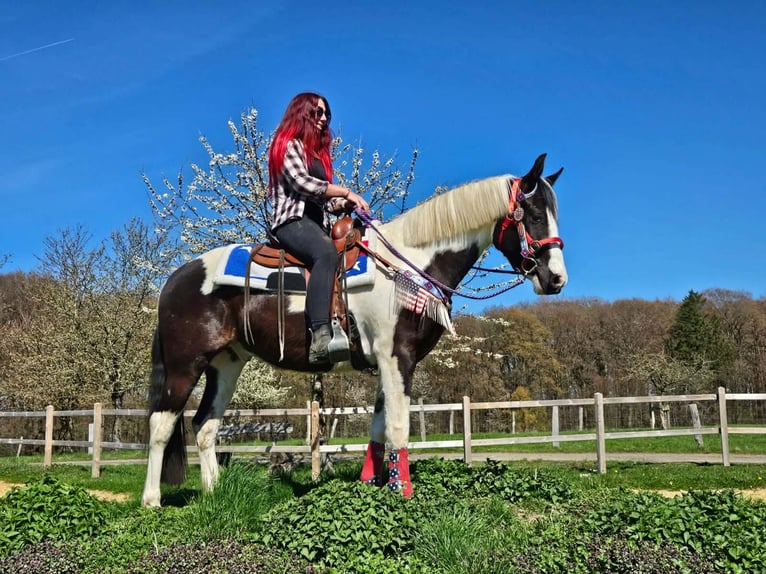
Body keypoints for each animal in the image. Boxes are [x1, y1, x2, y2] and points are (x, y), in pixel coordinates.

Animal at [141, 153, 567, 507]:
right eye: (532, 214)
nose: (556, 279)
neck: (407, 266)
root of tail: (176, 278)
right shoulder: (398, 358)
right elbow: (398, 426)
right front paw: (403, 493)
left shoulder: (384, 361)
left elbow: (378, 426)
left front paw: (371, 484)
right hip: (184, 363)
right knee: (161, 424)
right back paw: (151, 501)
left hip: (226, 364)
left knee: (205, 425)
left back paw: (213, 492)